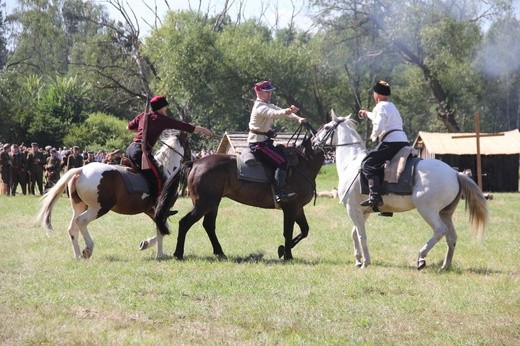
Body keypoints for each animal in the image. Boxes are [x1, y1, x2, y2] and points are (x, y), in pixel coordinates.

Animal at [35, 130, 188, 260]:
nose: (191, 158)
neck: (166, 169)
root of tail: (81, 170)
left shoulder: (152, 211)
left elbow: (162, 229)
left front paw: (148, 245)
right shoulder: (160, 210)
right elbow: (162, 230)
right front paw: (159, 253)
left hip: (80, 206)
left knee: (73, 229)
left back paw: (78, 256)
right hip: (99, 208)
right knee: (81, 221)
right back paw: (88, 249)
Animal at [153, 123, 324, 260]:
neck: (303, 164)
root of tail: (195, 162)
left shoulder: (297, 208)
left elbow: (304, 230)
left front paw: (283, 250)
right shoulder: (290, 208)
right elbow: (288, 232)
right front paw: (287, 254)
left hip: (212, 204)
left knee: (208, 225)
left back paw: (220, 252)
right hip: (204, 204)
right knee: (185, 223)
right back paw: (179, 253)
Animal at [312, 112, 488, 268]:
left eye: (326, 127)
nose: (313, 142)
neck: (351, 162)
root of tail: (454, 173)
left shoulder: (353, 209)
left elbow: (362, 236)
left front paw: (365, 262)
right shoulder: (363, 211)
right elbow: (354, 234)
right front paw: (358, 260)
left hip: (428, 210)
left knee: (440, 231)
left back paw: (421, 257)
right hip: (445, 213)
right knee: (451, 237)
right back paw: (445, 265)